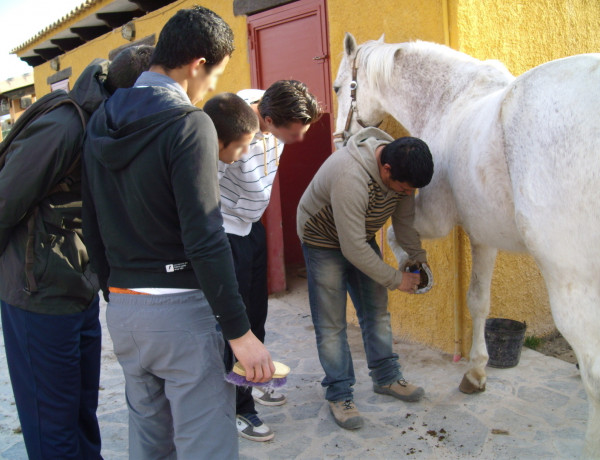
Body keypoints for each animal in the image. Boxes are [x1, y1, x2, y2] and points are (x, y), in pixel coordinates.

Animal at [332, 32, 600, 456]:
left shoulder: (435, 219)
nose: (340, 141)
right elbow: (479, 301)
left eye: (339, 87)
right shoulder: (484, 235)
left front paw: (415, 271)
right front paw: (475, 373)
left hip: (570, 278)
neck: (450, 98)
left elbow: (393, 234)